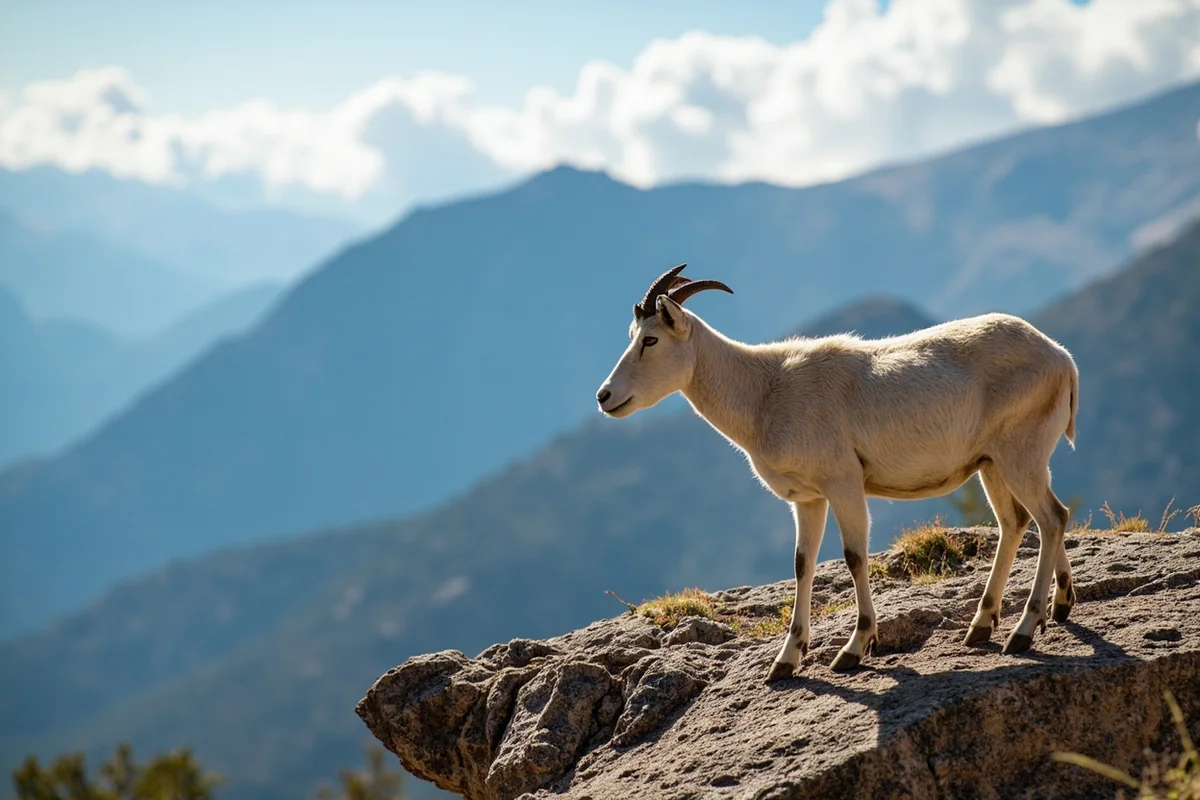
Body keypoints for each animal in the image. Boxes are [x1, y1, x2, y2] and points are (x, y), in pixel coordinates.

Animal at [596, 264, 1079, 681]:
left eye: (651, 340)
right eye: (633, 336)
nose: (604, 397)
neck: (765, 390)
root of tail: (1063, 359)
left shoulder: (843, 483)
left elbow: (853, 556)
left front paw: (853, 649)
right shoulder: (809, 498)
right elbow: (802, 564)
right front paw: (785, 662)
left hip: (1019, 455)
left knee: (1052, 517)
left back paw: (1022, 632)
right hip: (992, 464)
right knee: (1018, 522)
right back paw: (1014, 617)